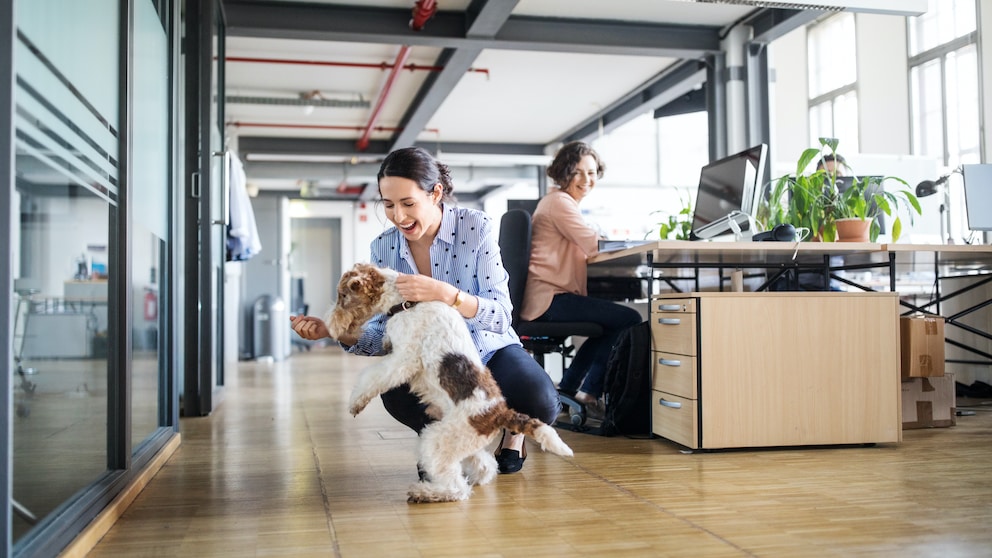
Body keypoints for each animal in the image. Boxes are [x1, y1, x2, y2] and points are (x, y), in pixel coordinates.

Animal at [328, 264, 572, 506]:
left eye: (343, 295)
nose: (331, 326)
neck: (407, 302)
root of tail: (499, 413)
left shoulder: (404, 360)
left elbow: (371, 377)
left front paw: (355, 403)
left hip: (437, 441)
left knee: (456, 488)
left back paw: (424, 492)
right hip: (457, 440)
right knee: (483, 465)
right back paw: (472, 478)